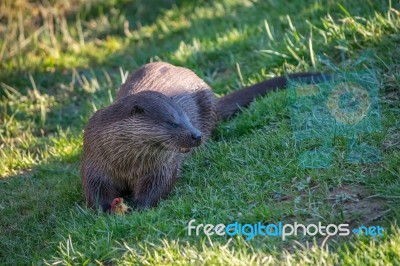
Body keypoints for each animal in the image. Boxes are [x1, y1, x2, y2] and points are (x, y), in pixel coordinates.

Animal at [81, 62, 328, 212]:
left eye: (187, 118)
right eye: (172, 122)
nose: (196, 135)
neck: (126, 164)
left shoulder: (161, 166)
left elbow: (159, 186)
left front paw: (140, 206)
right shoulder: (94, 162)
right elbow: (94, 190)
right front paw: (105, 208)